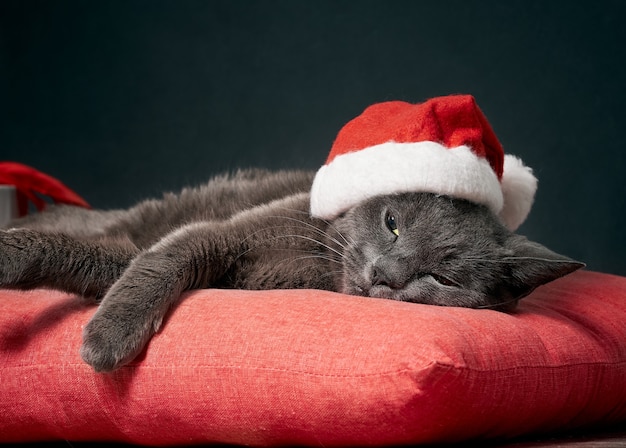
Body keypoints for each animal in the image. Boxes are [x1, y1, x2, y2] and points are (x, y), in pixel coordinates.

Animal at [0, 168, 580, 372]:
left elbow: (127, 263)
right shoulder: (220, 234)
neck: (317, 261)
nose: (385, 273)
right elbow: (160, 258)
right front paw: (109, 337)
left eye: (442, 279)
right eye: (393, 223)